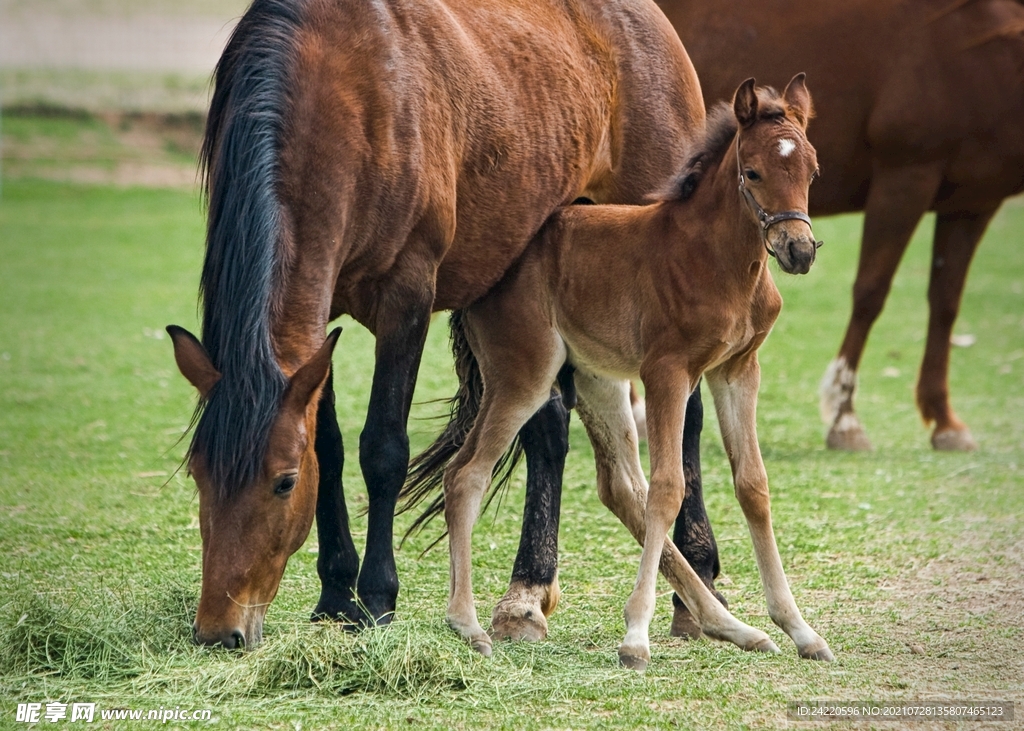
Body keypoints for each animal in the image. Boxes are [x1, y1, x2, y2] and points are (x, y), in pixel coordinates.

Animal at [164, 0, 709, 648]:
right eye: (198, 475)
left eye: (284, 482)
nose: (219, 631)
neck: (344, 94)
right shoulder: (319, 321)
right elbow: (331, 445)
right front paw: (335, 594)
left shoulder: (408, 296)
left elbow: (383, 448)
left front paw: (376, 599)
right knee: (548, 426)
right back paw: (526, 596)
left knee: (688, 416)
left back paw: (696, 582)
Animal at [419, 76, 833, 669]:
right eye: (753, 172)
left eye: (812, 171)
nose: (798, 250)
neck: (717, 259)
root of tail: (486, 276)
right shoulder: (668, 371)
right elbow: (668, 488)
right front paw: (635, 637)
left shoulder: (738, 369)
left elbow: (752, 485)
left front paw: (800, 629)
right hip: (524, 375)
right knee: (466, 474)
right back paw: (469, 624)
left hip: (597, 378)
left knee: (620, 487)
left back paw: (733, 626)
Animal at [656, 0, 1024, 451]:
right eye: (754, 173)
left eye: (814, 173)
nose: (799, 250)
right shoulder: (905, 176)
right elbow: (870, 293)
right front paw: (845, 418)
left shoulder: (973, 202)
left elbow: (946, 304)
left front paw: (946, 422)